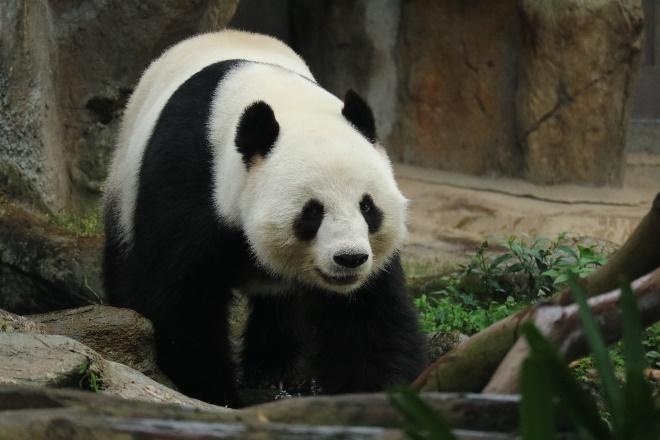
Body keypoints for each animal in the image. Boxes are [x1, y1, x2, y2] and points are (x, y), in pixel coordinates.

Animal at [100, 30, 426, 406]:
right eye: (312, 211)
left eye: (368, 207)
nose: (349, 259)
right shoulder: (191, 178)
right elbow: (181, 300)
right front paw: (216, 393)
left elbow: (367, 318)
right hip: (124, 184)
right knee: (124, 264)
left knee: (281, 308)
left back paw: (275, 369)